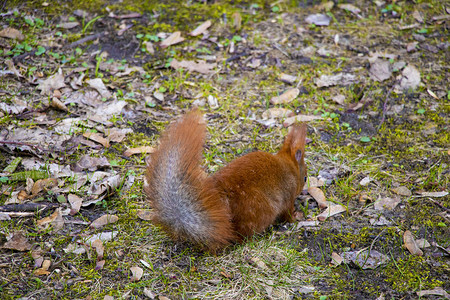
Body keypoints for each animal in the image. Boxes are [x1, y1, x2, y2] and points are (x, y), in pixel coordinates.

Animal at [144, 108, 306, 251]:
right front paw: (297, 217)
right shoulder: (288, 197)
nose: (303, 188)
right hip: (260, 212)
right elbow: (287, 214)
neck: (289, 166)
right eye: (305, 178)